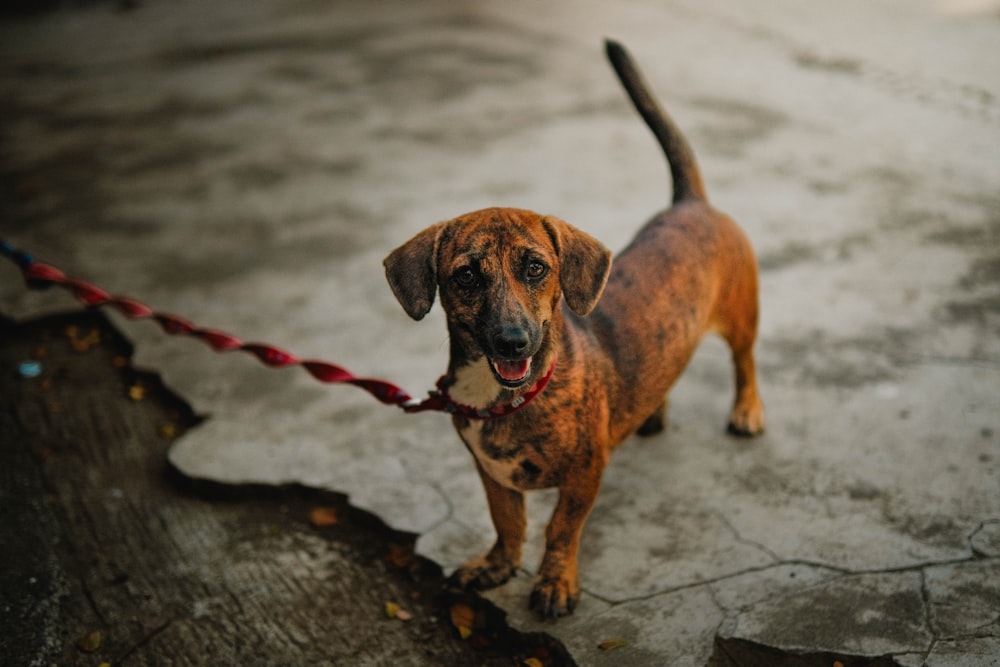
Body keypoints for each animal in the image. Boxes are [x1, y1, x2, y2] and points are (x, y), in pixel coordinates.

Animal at [382, 39, 764, 620]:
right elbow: (508, 523)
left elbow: (560, 530)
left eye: (536, 268)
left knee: (745, 361)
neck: (505, 395)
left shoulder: (586, 474)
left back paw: (747, 410)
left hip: (742, 318)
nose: (513, 341)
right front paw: (496, 566)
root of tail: (690, 203)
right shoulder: (491, 474)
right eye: (465, 275)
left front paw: (555, 583)